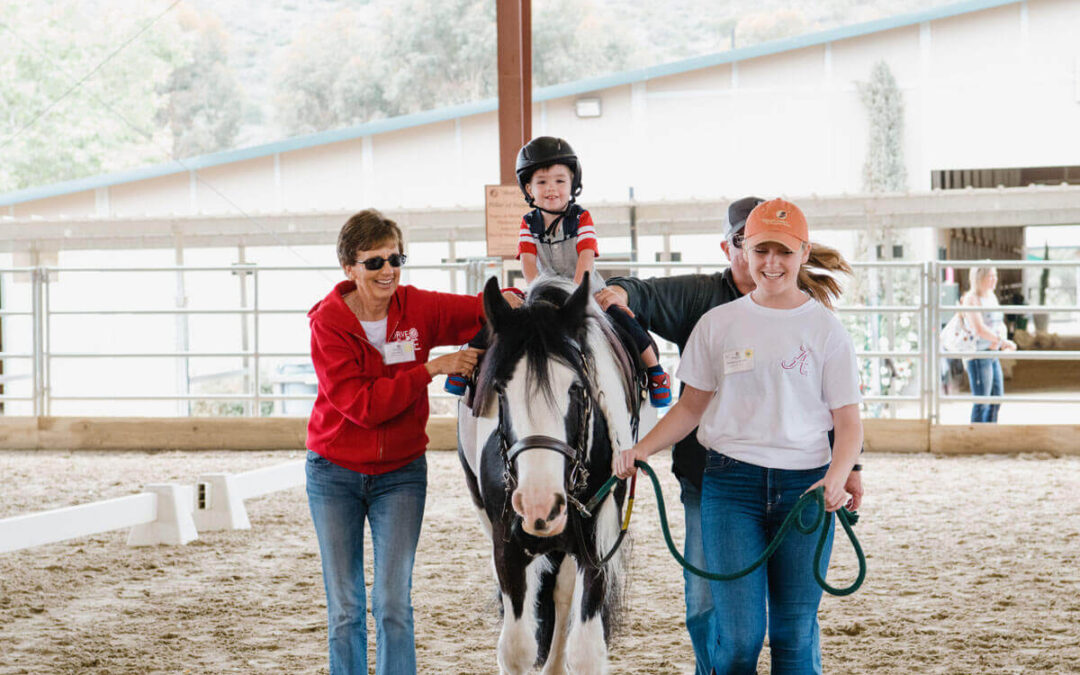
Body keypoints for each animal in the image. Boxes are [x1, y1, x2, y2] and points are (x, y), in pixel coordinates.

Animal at [457, 274, 643, 674]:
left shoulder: (598, 543)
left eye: (577, 388)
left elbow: (586, 650)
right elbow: (515, 648)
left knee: (563, 593)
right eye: (500, 389)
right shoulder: (507, 544)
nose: (539, 505)